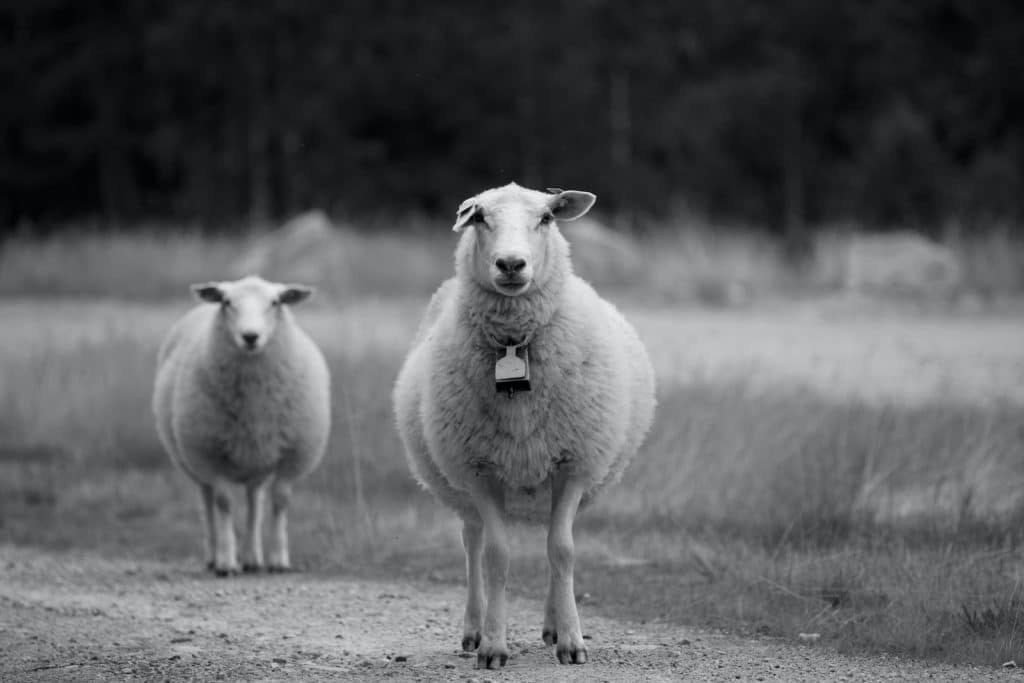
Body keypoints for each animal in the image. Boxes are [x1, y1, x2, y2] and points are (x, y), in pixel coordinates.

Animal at [151, 274, 329, 573]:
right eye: (226, 302)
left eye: (275, 302)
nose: (250, 337)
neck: (254, 402)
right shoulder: (209, 454)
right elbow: (223, 503)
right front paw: (226, 562)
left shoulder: (294, 454)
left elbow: (280, 500)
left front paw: (278, 559)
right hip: (192, 461)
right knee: (207, 500)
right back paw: (214, 556)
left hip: (256, 458)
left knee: (254, 501)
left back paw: (253, 557)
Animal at [391, 181, 655, 667]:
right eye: (479, 218)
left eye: (546, 218)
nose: (511, 264)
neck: (515, 345)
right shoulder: (479, 470)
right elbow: (497, 556)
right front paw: (494, 645)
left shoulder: (573, 465)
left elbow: (562, 550)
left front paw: (572, 640)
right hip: (458, 485)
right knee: (473, 543)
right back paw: (474, 629)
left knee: (554, 541)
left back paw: (551, 626)